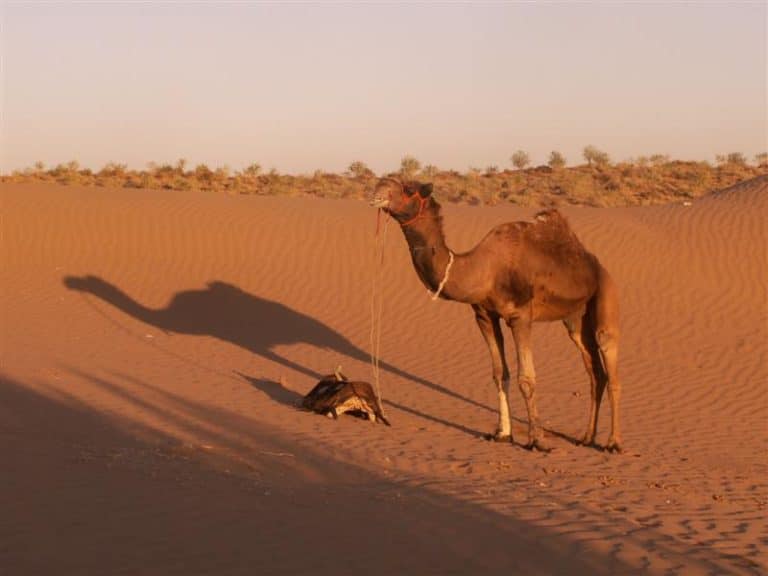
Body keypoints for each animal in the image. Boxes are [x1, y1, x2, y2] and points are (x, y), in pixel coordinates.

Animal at [372, 178, 624, 452]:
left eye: (408, 189)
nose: (378, 189)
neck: (484, 270)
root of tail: (595, 264)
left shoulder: (520, 316)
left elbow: (527, 378)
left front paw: (537, 440)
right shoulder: (485, 316)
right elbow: (499, 374)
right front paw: (503, 433)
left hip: (606, 293)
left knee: (610, 361)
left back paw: (613, 443)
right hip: (575, 317)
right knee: (595, 372)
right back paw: (587, 438)